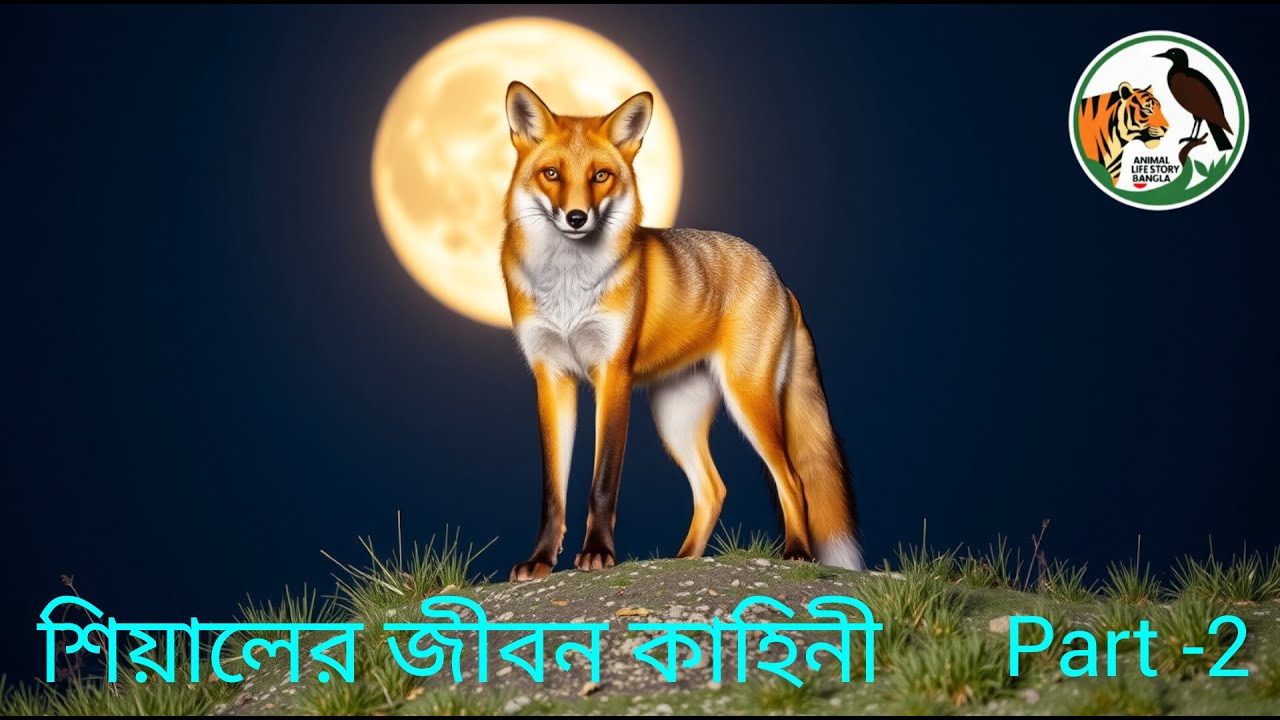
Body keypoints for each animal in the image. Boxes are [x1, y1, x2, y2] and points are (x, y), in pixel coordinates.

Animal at [501, 81, 863, 582]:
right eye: (551, 173)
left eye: (601, 176)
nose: (576, 218)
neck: (568, 288)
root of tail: (781, 280)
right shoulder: (551, 376)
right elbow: (553, 492)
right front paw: (539, 560)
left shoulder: (613, 374)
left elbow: (602, 482)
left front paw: (598, 553)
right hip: (675, 419)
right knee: (713, 490)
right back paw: (683, 559)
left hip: (748, 399)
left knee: (792, 480)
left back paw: (797, 553)